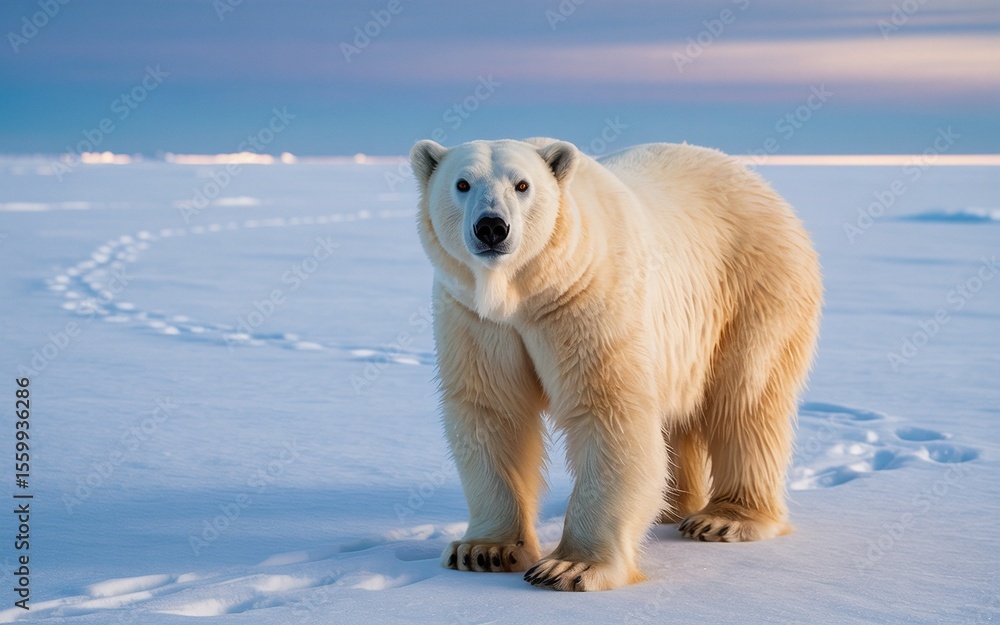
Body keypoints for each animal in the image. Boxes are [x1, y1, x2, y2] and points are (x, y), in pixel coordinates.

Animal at [409, 137, 822, 591]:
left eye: (522, 184)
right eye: (462, 183)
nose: (492, 227)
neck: (527, 289)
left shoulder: (586, 297)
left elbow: (608, 411)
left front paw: (569, 567)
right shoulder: (475, 317)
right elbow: (492, 411)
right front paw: (483, 550)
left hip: (754, 287)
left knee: (745, 398)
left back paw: (723, 518)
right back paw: (673, 507)